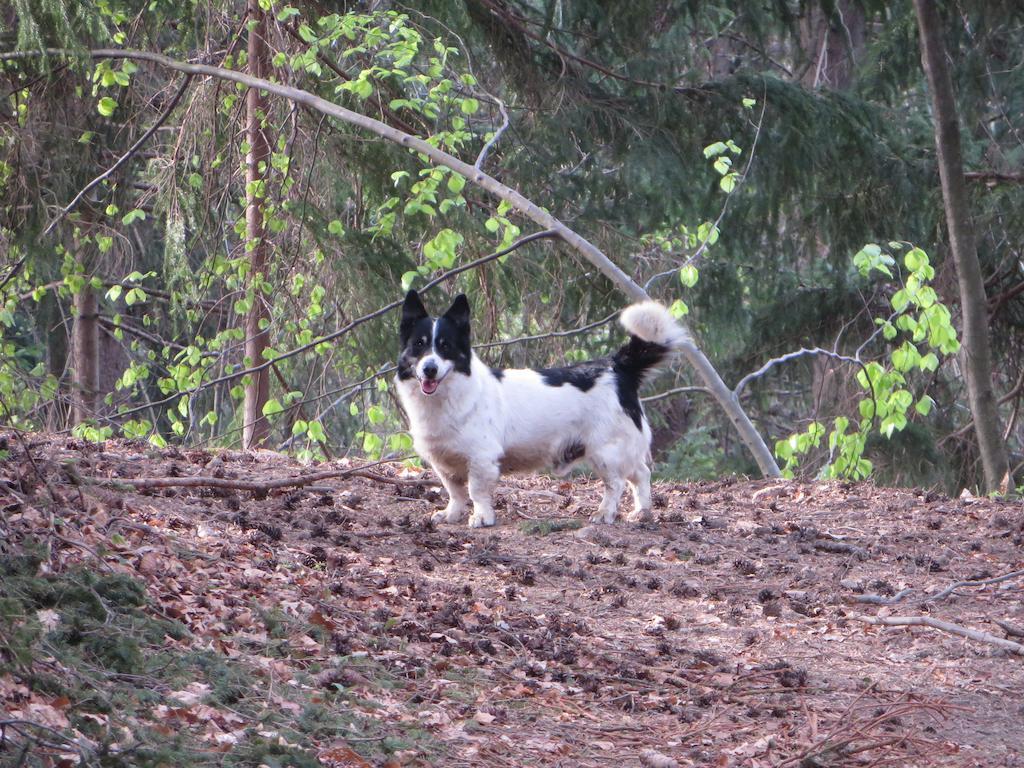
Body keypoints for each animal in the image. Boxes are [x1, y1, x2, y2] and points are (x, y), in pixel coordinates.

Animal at [397, 290, 688, 528]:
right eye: (419, 344)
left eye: (445, 346)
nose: (429, 368)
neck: (446, 398)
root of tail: (617, 367)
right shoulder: (444, 464)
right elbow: (455, 493)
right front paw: (451, 515)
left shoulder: (481, 459)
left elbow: (476, 492)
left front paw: (482, 517)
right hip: (622, 450)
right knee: (641, 473)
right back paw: (642, 511)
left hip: (605, 451)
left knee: (615, 484)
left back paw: (604, 513)